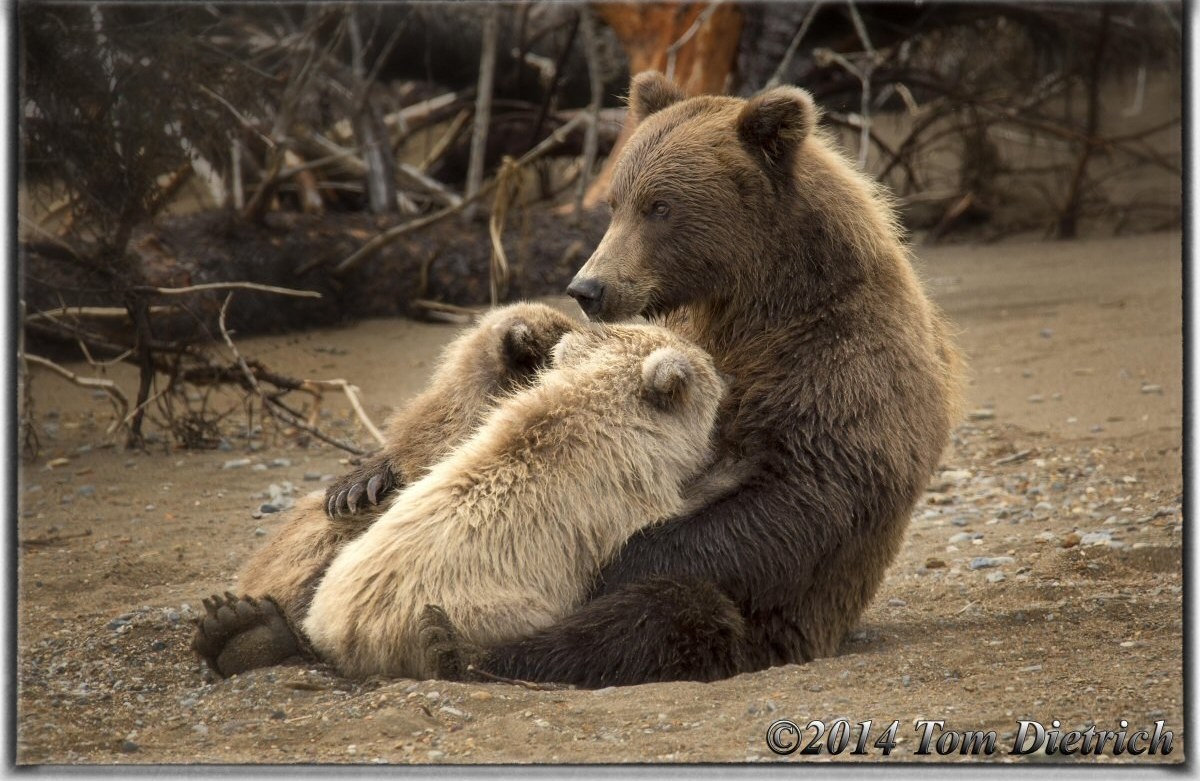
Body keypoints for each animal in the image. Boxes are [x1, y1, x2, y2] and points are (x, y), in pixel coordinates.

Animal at [416, 71, 965, 688]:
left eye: (660, 205)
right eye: (615, 203)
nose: (589, 287)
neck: (757, 298)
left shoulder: (840, 362)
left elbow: (800, 492)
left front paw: (611, 567)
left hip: (771, 629)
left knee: (668, 616)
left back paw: (463, 648)